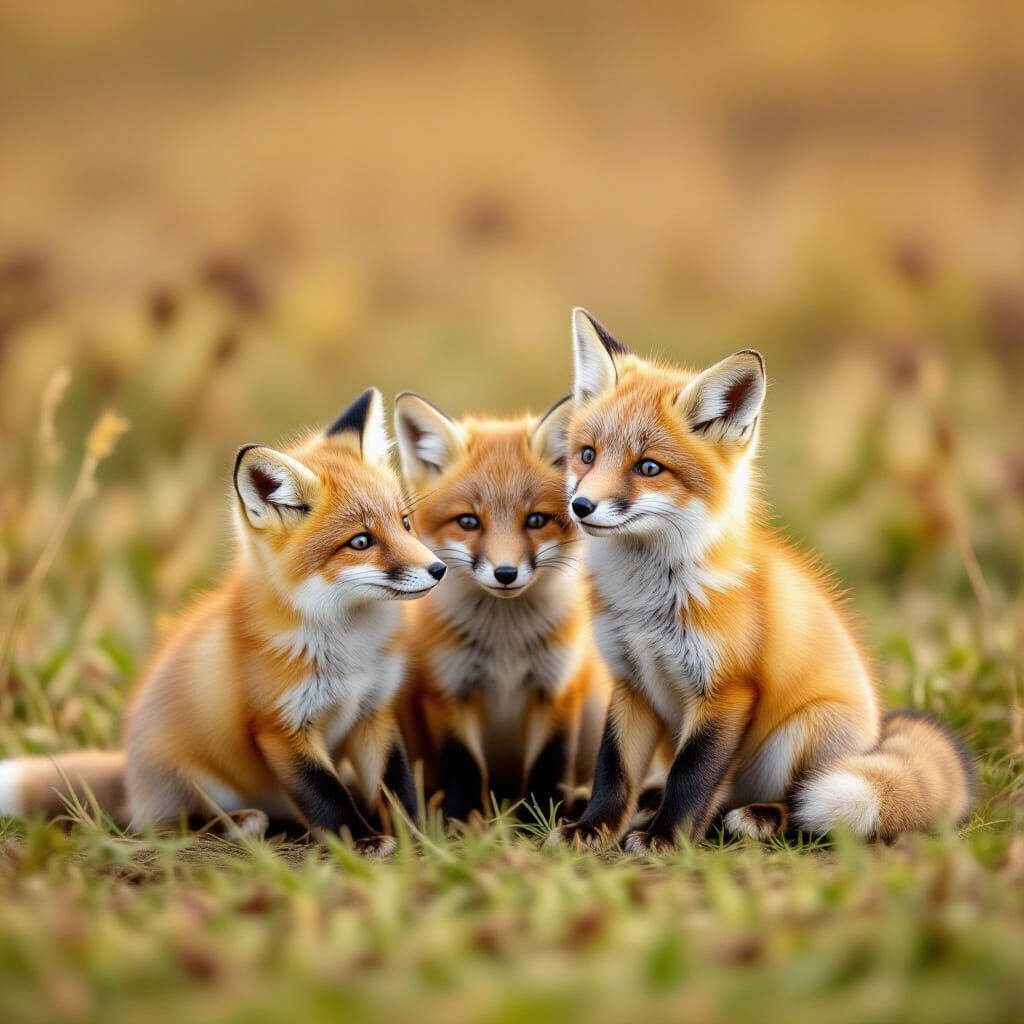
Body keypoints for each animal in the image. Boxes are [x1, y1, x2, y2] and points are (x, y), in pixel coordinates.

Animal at [0, 388, 448, 856]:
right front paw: (361, 841)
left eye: (404, 522)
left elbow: (395, 786)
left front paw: (417, 838)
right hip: (186, 784)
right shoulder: (281, 727)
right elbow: (326, 795)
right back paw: (236, 823)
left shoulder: (372, 711)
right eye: (360, 542)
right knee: (162, 827)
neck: (350, 652)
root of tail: (130, 775)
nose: (438, 570)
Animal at [394, 392, 611, 823]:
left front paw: (541, 818)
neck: (504, 646)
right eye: (468, 521)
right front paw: (461, 820)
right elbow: (463, 764)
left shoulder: (557, 687)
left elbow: (549, 761)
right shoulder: (449, 690)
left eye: (537, 520)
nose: (506, 573)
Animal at [548, 309, 974, 853]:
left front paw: (667, 840)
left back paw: (763, 817)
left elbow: (693, 775)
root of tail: (877, 732)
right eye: (587, 454)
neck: (646, 604)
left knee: (808, 806)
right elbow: (613, 771)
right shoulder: (631, 682)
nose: (580, 506)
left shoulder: (727, 690)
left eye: (648, 467)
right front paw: (593, 828)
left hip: (803, 733)